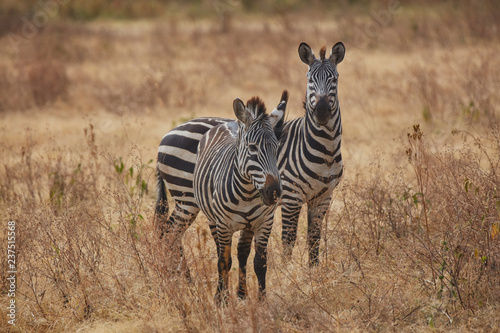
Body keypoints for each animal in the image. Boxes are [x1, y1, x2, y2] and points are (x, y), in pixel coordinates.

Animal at [154, 41, 346, 264]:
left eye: (335, 79)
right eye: (309, 79)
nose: (321, 113)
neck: (325, 150)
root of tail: (166, 135)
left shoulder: (323, 197)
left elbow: (314, 240)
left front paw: (313, 272)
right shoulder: (291, 197)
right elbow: (288, 241)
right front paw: (288, 271)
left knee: (168, 232)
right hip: (187, 197)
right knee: (169, 233)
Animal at [193, 91, 288, 300]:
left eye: (276, 147)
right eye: (252, 148)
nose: (274, 192)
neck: (248, 193)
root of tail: (230, 122)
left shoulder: (264, 222)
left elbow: (259, 262)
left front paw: (261, 300)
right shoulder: (223, 224)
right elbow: (223, 262)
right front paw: (221, 299)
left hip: (248, 225)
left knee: (242, 253)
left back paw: (242, 293)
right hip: (213, 220)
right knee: (223, 253)